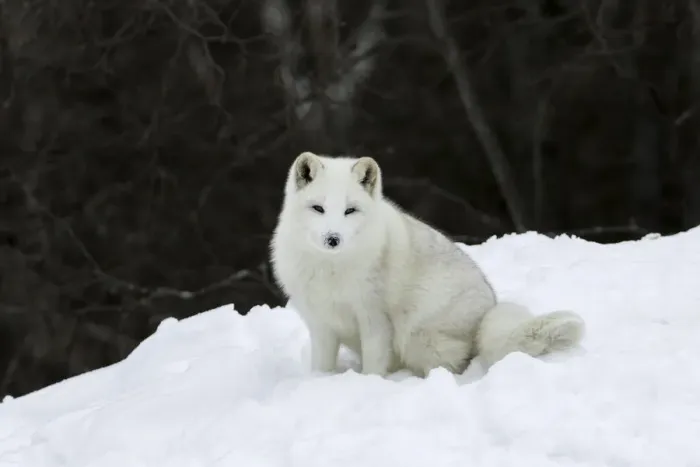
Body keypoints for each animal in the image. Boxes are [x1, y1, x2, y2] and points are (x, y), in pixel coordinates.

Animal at [269, 151, 585, 377]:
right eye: (318, 208)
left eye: (350, 210)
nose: (333, 238)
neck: (331, 269)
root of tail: (488, 311)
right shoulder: (321, 324)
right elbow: (321, 366)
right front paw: (319, 384)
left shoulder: (374, 320)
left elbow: (374, 366)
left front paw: (370, 384)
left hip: (416, 335)